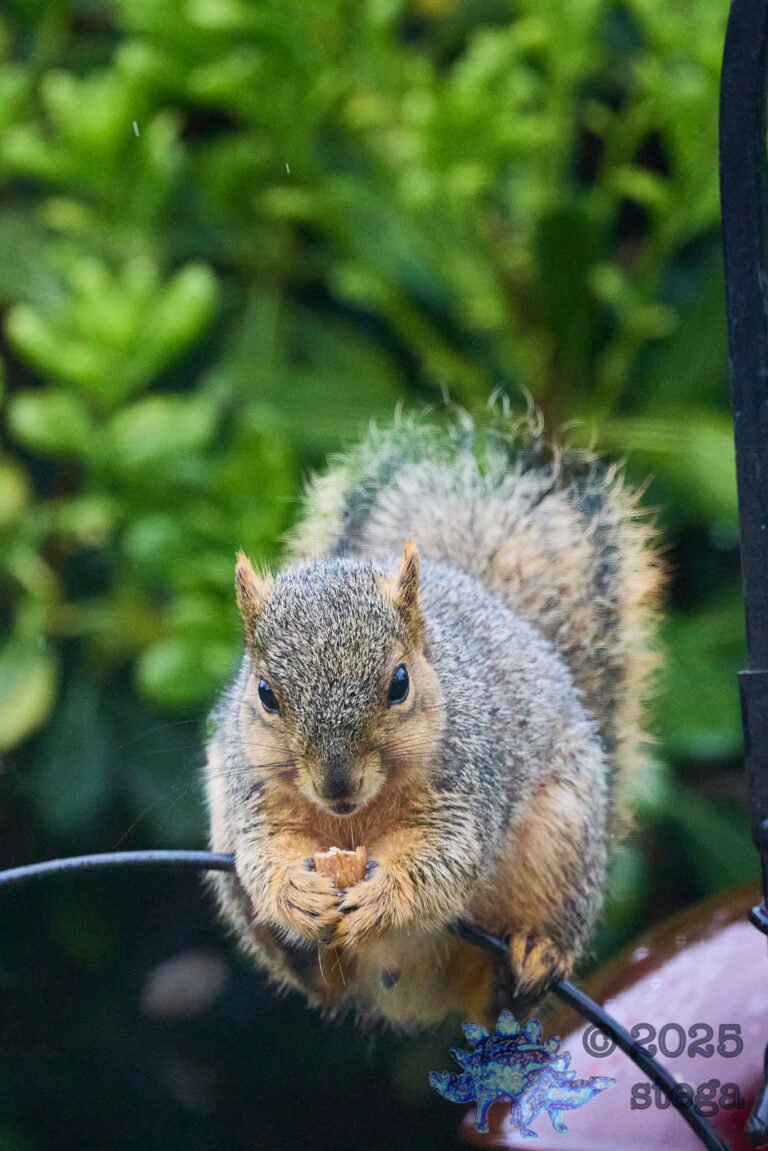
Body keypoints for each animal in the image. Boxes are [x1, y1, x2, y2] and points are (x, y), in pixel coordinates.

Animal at [204, 407, 663, 1030]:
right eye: (266, 694)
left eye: (399, 683)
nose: (337, 784)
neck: (355, 820)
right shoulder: (251, 791)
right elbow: (264, 851)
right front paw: (296, 891)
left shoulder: (467, 786)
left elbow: (444, 859)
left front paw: (384, 894)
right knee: (322, 982)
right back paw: (296, 950)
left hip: (562, 843)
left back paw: (529, 961)